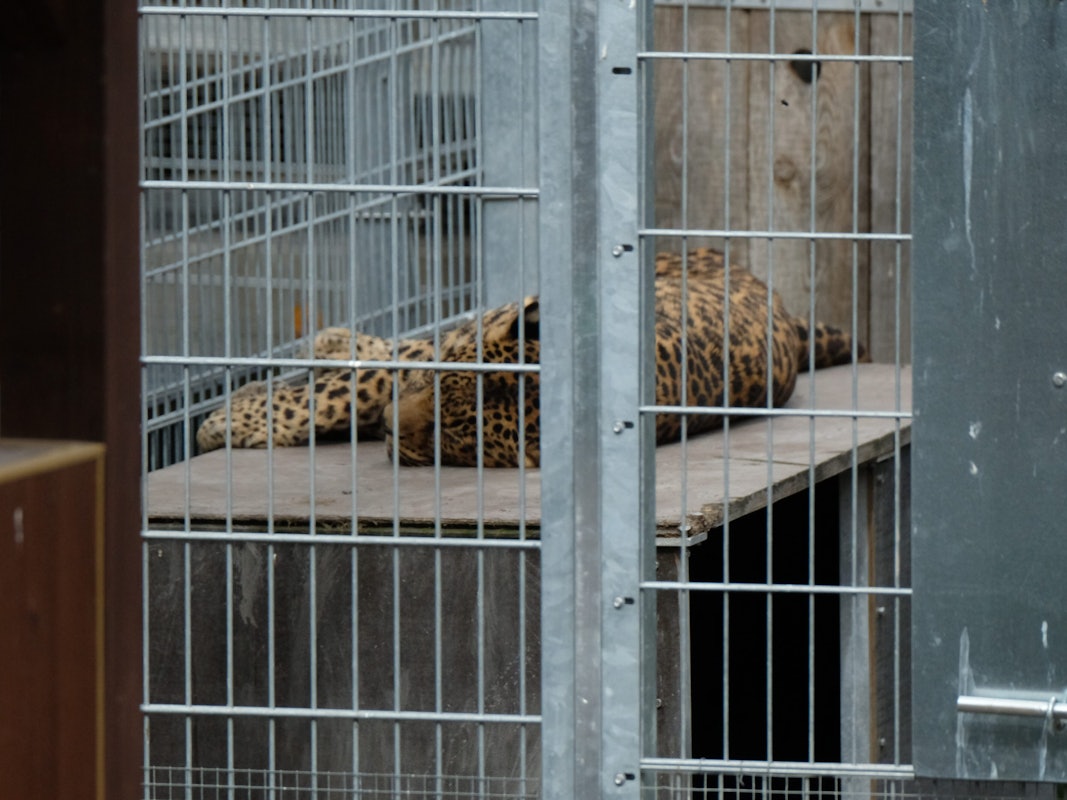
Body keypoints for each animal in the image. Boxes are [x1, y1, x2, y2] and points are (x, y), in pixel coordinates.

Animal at [195, 248, 866, 467]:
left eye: (453, 433)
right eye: (442, 391)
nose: (388, 428)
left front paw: (224, 423)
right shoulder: (436, 355)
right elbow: (349, 387)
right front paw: (227, 421)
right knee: (396, 344)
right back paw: (333, 340)